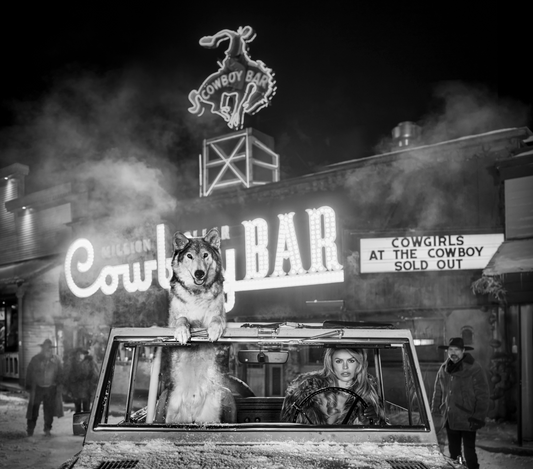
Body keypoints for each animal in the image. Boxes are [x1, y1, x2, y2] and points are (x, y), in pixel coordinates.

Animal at [165, 229, 234, 422]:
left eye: (205, 255)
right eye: (189, 256)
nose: (199, 274)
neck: (197, 294)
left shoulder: (219, 315)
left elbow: (216, 319)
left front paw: (214, 331)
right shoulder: (173, 320)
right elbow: (182, 319)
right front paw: (182, 332)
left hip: (210, 418)